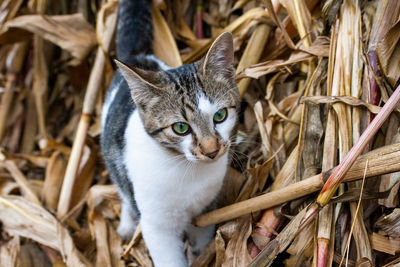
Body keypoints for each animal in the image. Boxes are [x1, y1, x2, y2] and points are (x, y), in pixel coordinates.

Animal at [101, 0, 239, 266]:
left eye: (220, 116)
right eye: (181, 128)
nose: (212, 150)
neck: (187, 171)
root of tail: (138, 56)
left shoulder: (205, 211)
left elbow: (201, 242)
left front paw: (200, 256)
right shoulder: (157, 226)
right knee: (123, 190)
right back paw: (126, 224)